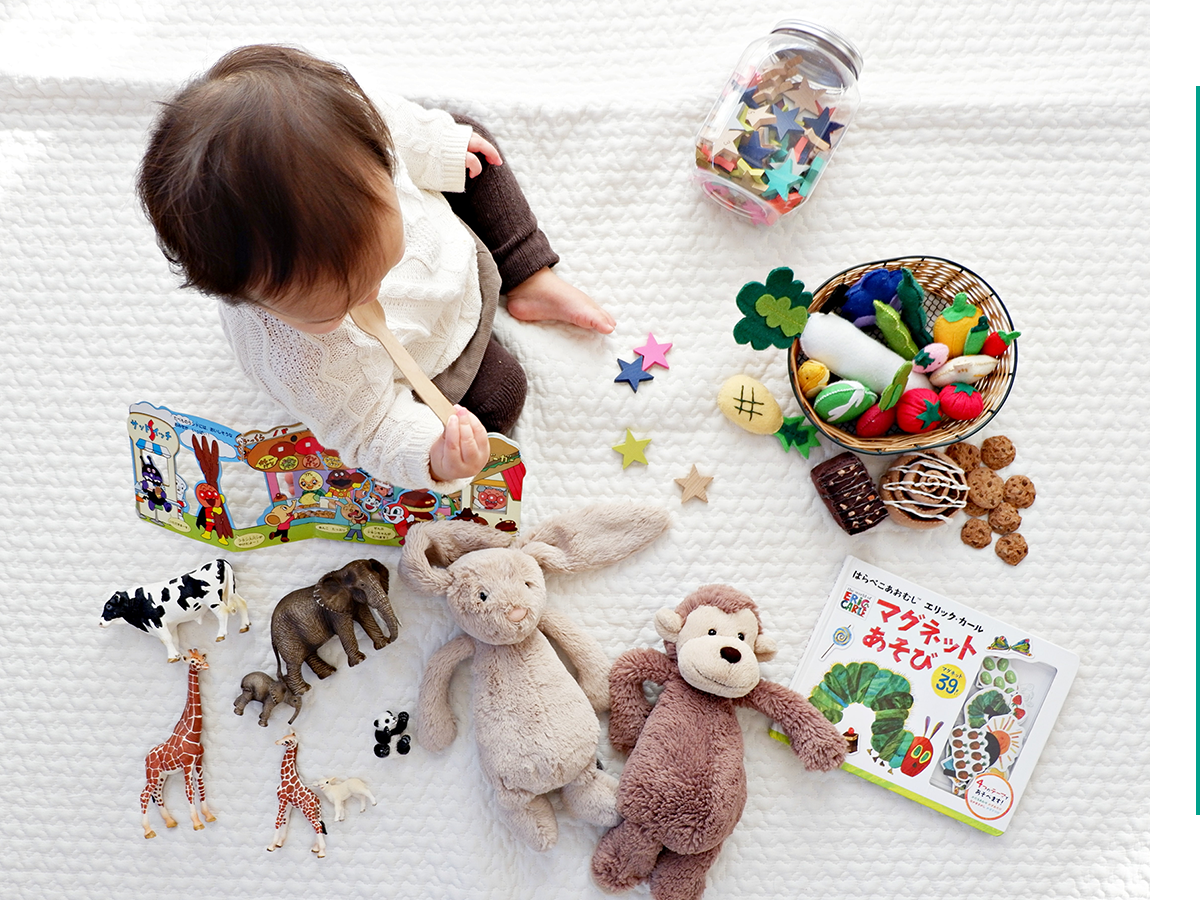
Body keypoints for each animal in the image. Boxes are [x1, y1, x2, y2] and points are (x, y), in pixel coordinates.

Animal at [101, 556, 253, 662]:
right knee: (242, 603)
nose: (100, 623)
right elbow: (173, 639)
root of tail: (218, 560)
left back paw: (221, 634)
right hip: (231, 590)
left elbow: (165, 639)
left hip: (213, 600)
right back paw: (244, 626)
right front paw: (177, 655)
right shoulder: (171, 625)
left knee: (223, 612)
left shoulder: (156, 621)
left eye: (108, 606)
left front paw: (172, 658)